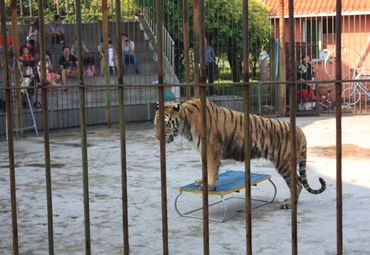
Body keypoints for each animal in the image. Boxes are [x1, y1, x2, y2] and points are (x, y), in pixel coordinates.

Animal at [154, 98, 326, 208]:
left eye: (166, 124)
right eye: (155, 124)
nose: (157, 138)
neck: (185, 124)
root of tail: (300, 131)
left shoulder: (212, 149)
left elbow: (212, 169)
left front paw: (209, 186)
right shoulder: (204, 151)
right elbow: (205, 169)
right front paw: (202, 181)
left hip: (284, 163)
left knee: (297, 183)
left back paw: (289, 204)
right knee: (298, 183)